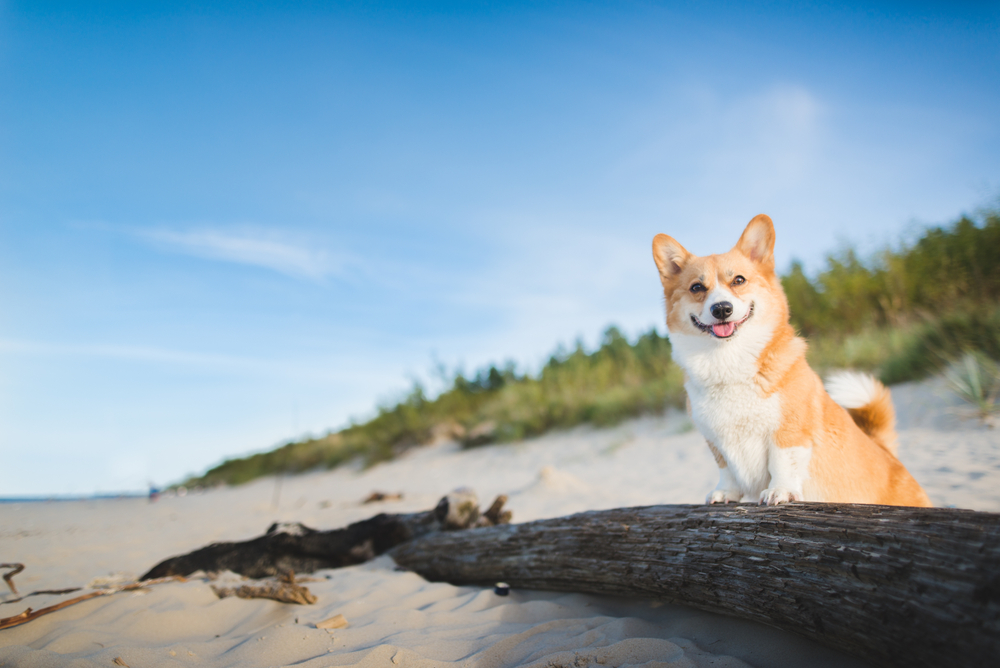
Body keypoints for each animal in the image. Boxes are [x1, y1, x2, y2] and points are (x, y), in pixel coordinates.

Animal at [656, 214, 928, 506]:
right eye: (697, 287)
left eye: (739, 280)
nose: (721, 309)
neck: (728, 360)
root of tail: (890, 455)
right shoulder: (715, 440)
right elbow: (725, 468)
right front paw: (725, 493)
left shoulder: (789, 431)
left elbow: (782, 462)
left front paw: (780, 490)